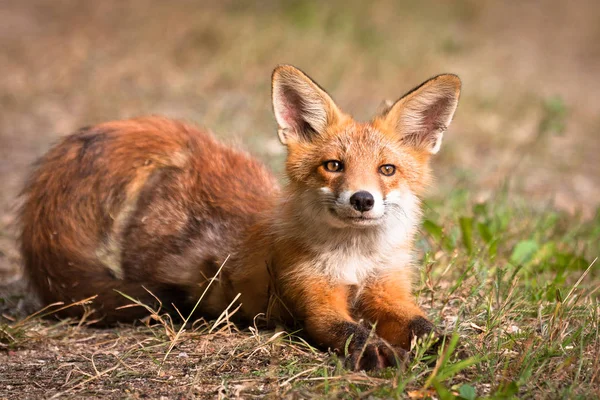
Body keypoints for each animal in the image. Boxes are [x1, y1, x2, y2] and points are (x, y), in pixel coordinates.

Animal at [18, 65, 460, 368]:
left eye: (387, 169)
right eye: (334, 166)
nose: (362, 200)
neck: (355, 257)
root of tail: (193, 151)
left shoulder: (389, 290)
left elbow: (422, 325)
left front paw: (448, 348)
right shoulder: (314, 298)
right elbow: (349, 330)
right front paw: (375, 351)